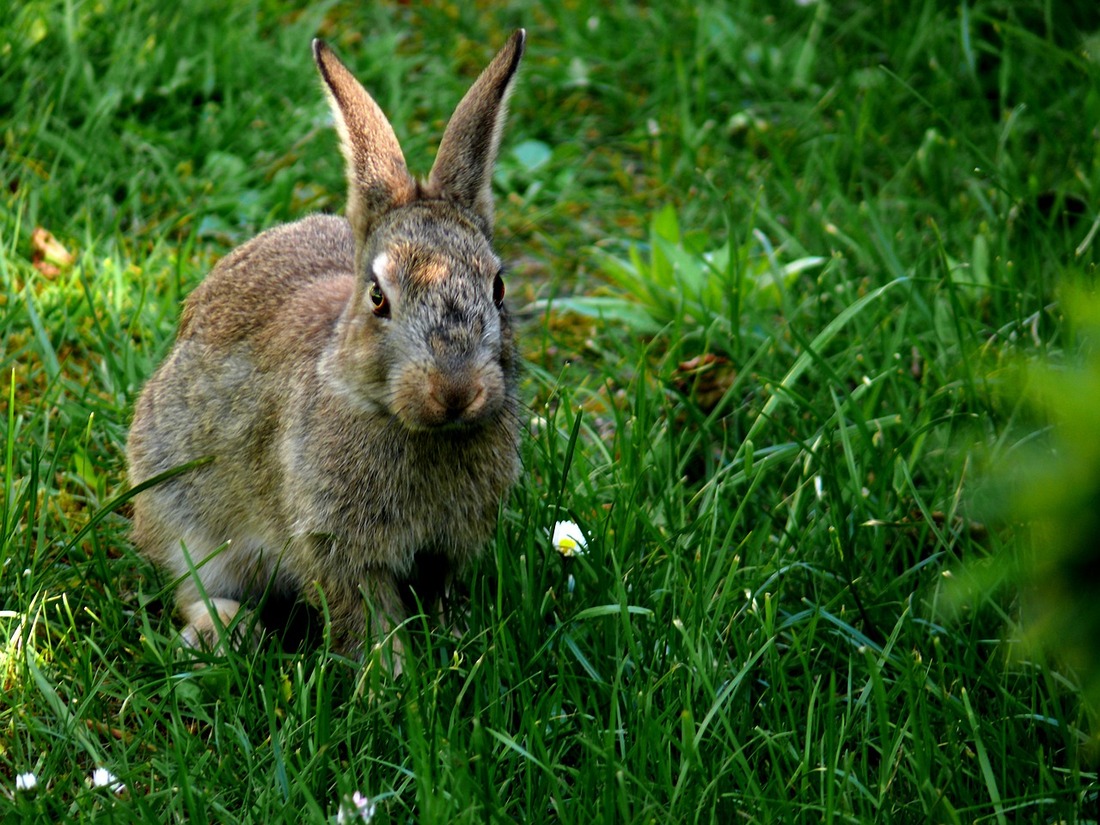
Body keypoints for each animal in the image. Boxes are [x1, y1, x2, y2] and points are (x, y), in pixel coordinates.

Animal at [126, 29, 527, 662]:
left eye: (499, 287)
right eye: (379, 298)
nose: (456, 390)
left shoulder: (446, 550)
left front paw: (452, 646)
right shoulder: (334, 546)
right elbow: (365, 617)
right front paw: (389, 678)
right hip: (177, 503)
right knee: (189, 582)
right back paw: (225, 629)